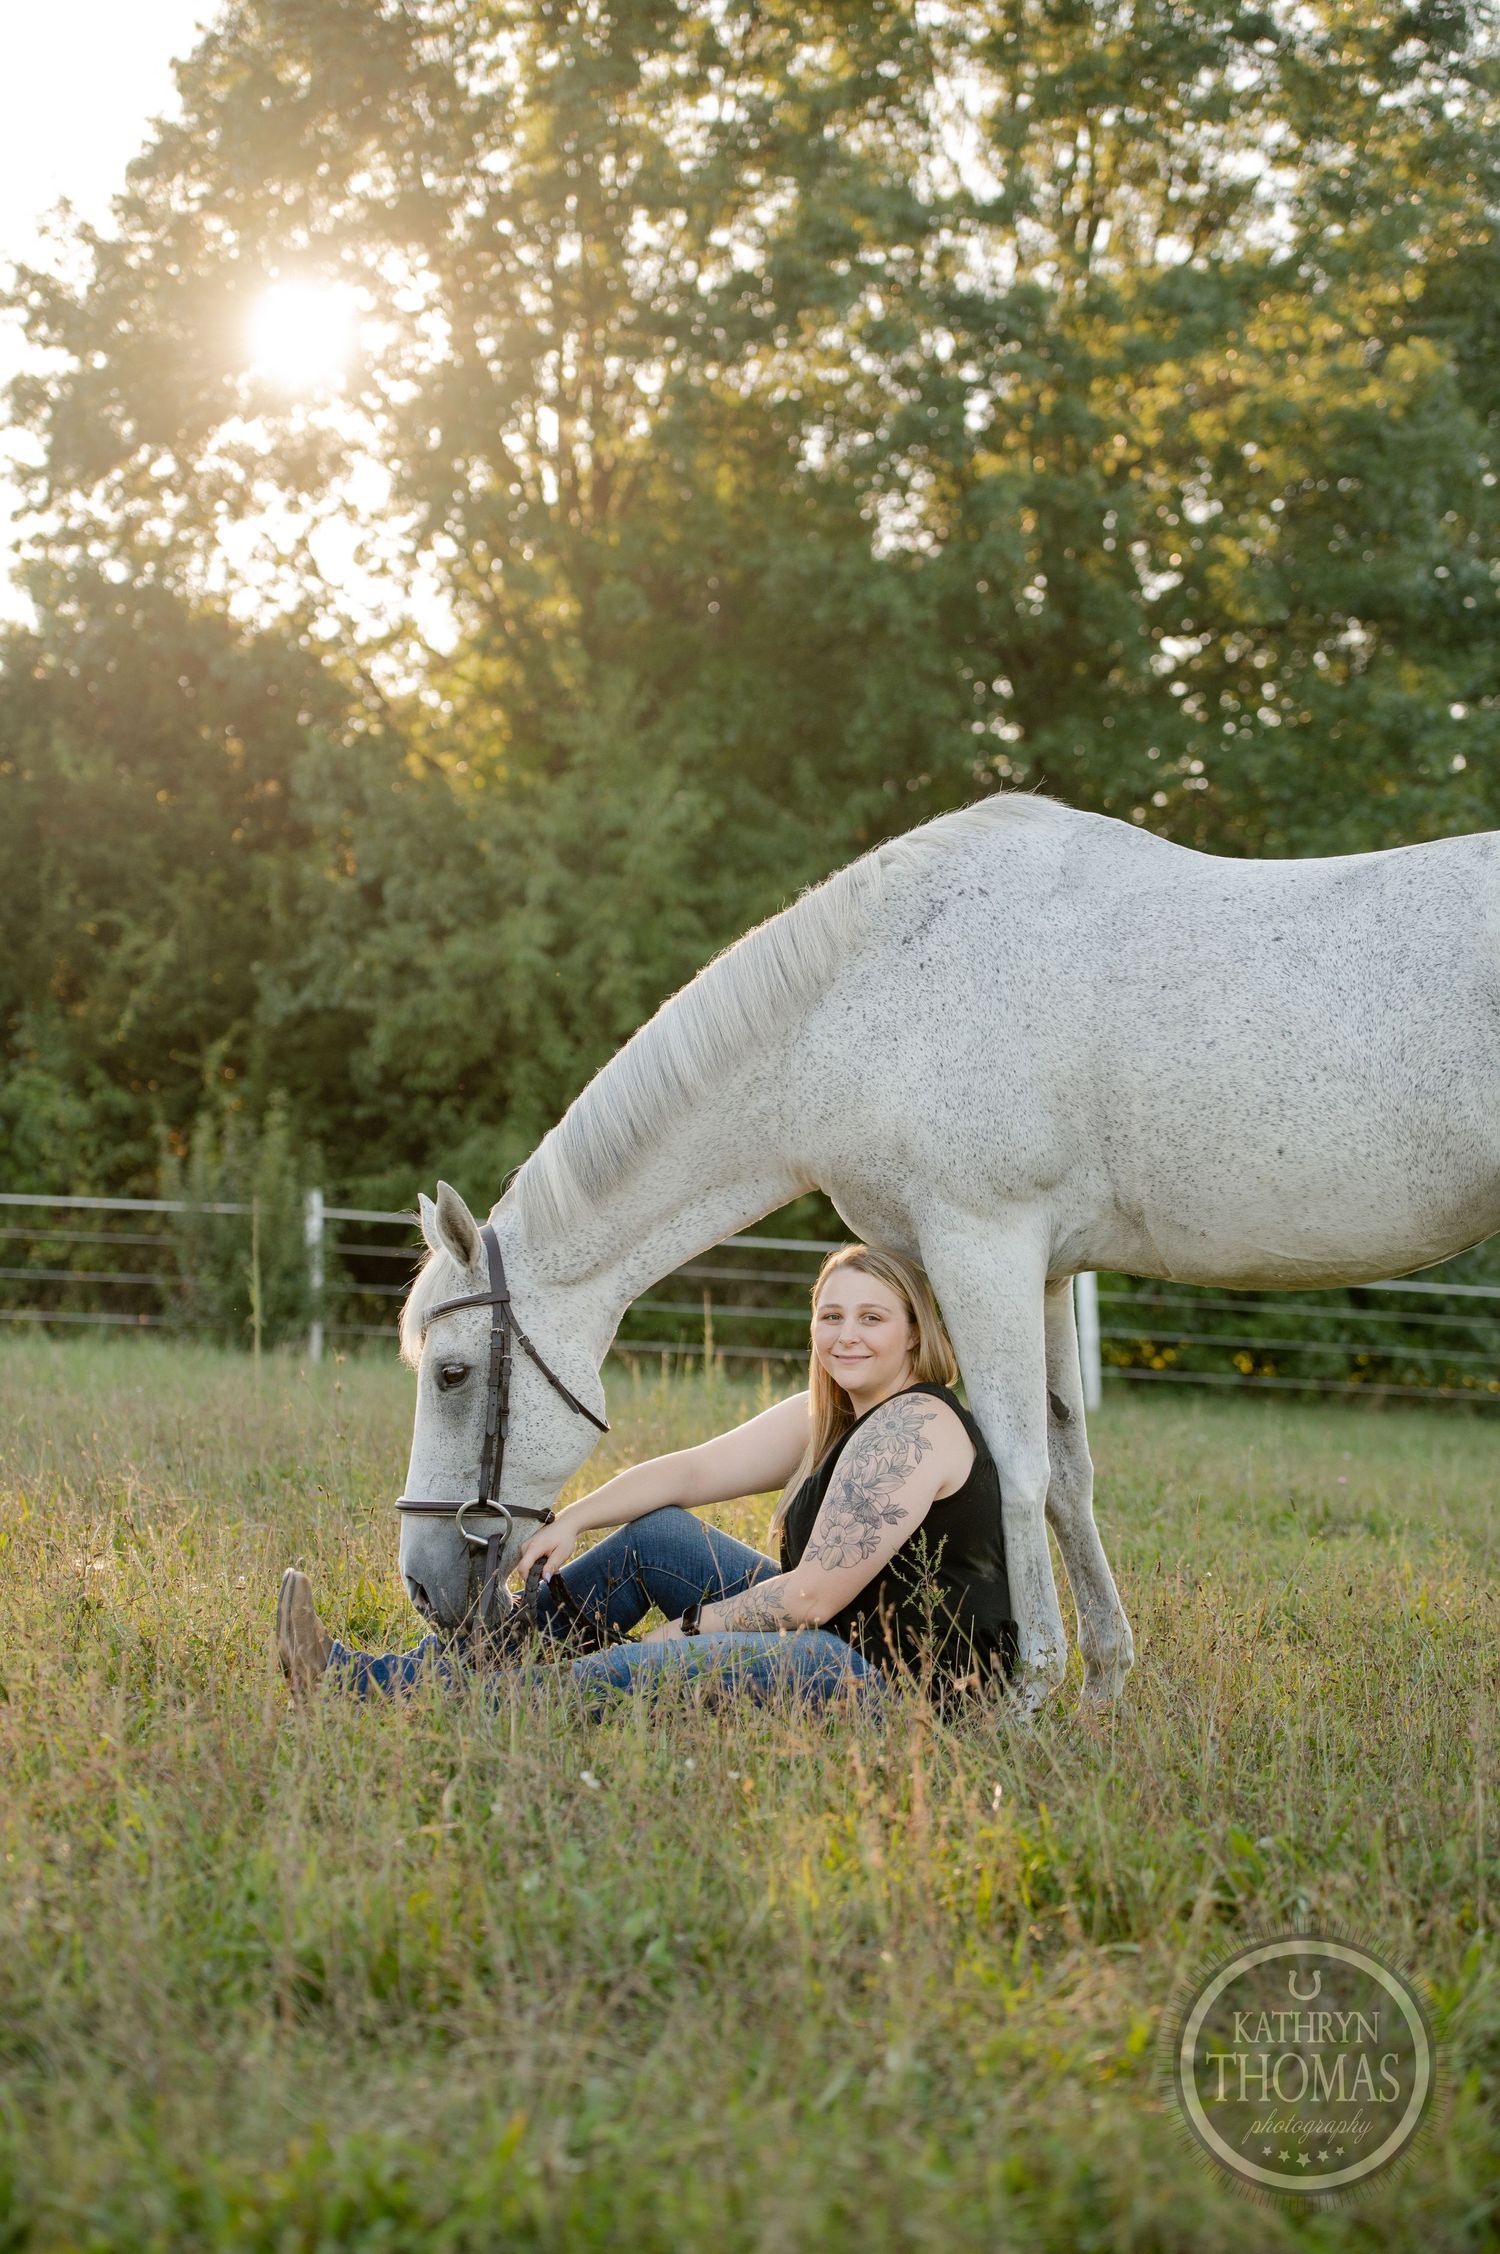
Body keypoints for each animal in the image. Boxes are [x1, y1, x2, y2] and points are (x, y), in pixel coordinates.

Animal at [396, 791, 1500, 1708]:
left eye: (452, 1374)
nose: (422, 1582)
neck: (857, 1001)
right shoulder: (1040, 1270)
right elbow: (1067, 1468)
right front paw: (1103, 1686)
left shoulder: (982, 1243)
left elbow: (1013, 1464)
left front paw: (1031, 1691)